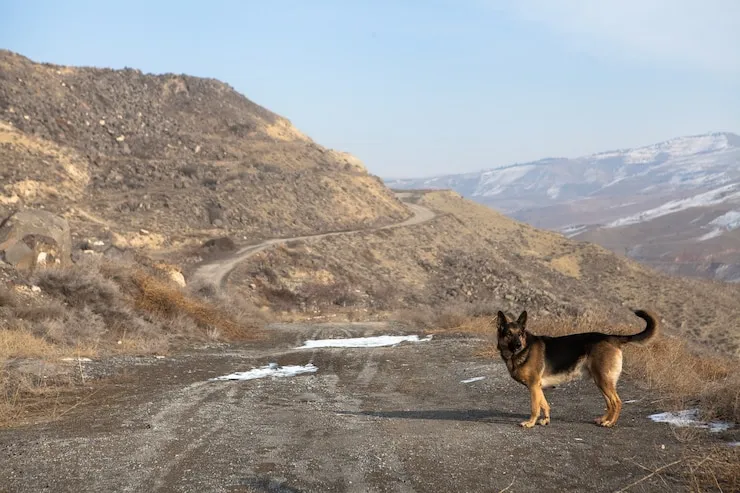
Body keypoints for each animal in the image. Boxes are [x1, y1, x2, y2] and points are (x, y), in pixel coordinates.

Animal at [498, 308, 660, 426]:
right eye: (509, 334)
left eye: (520, 334)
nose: (518, 345)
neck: (524, 350)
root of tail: (611, 338)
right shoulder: (537, 387)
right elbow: (544, 404)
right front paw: (545, 420)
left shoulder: (533, 386)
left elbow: (535, 407)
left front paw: (530, 423)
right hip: (601, 381)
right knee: (610, 403)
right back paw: (604, 420)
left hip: (603, 380)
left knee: (616, 402)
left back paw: (610, 423)